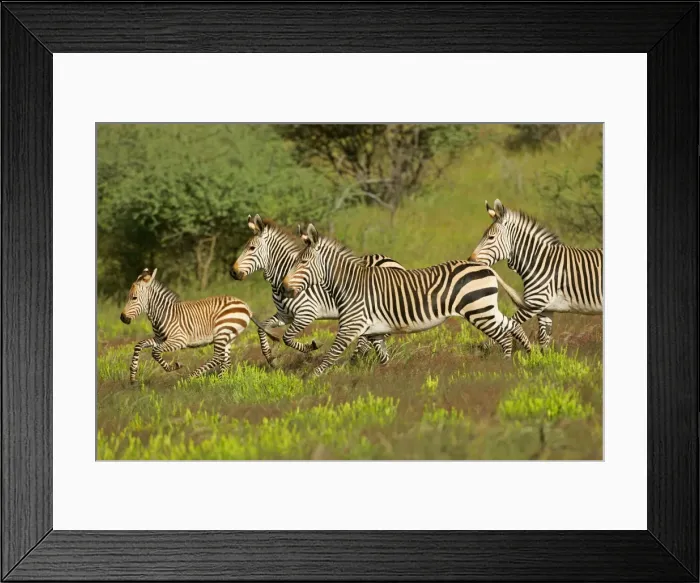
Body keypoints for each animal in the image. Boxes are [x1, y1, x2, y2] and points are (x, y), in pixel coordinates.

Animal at [120, 268, 277, 382]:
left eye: (134, 298)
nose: (122, 318)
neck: (164, 313)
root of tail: (245, 305)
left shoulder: (179, 340)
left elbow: (155, 352)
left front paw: (174, 366)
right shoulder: (160, 338)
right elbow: (139, 345)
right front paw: (132, 376)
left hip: (222, 331)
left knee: (218, 357)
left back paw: (193, 377)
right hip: (228, 335)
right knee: (225, 360)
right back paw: (221, 381)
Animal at [230, 214, 406, 367]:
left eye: (251, 248)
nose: (233, 273)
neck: (284, 276)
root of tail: (393, 261)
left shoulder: (306, 313)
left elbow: (287, 338)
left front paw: (311, 347)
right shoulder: (285, 315)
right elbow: (262, 328)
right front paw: (270, 358)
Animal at [281, 224, 532, 377]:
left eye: (303, 262)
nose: (283, 287)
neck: (351, 285)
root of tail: (485, 266)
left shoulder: (351, 326)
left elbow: (330, 356)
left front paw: (310, 380)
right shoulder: (374, 330)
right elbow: (383, 357)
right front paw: (387, 380)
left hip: (479, 311)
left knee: (504, 336)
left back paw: (505, 368)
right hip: (486, 308)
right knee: (511, 324)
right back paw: (530, 353)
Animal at [469, 199, 603, 348]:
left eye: (491, 237)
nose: (470, 260)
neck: (541, 262)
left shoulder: (534, 304)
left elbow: (510, 324)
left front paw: (484, 347)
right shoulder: (546, 309)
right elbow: (543, 340)